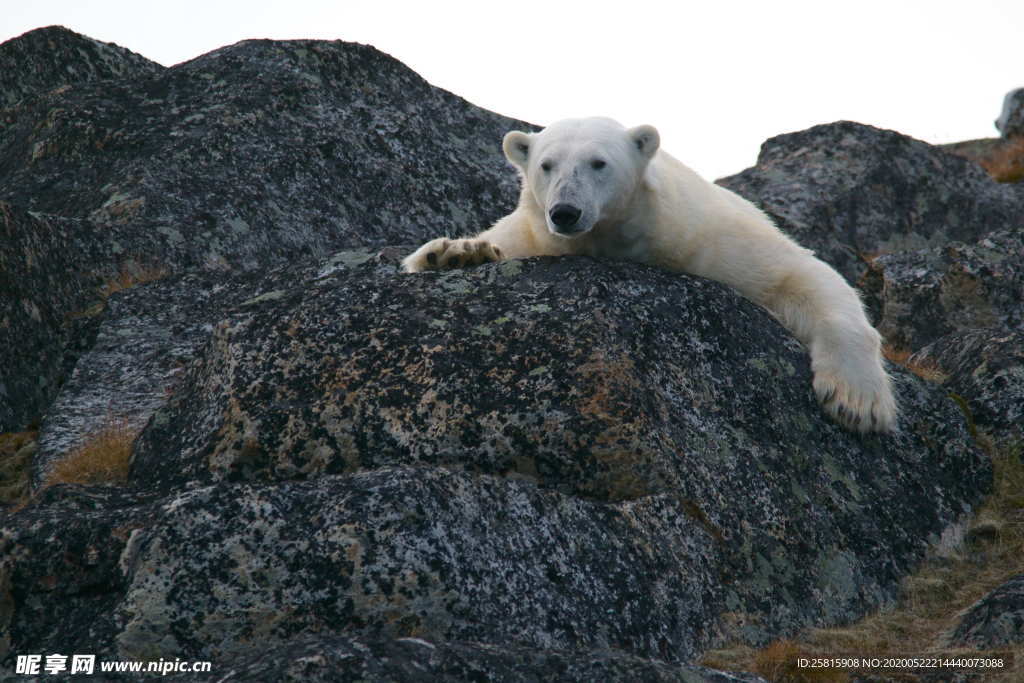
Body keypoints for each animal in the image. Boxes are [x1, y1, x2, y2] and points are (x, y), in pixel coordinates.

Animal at [399, 114, 897, 430]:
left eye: (598, 163)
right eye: (546, 165)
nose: (565, 211)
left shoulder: (708, 237)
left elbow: (801, 275)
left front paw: (857, 402)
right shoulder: (534, 234)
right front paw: (455, 253)